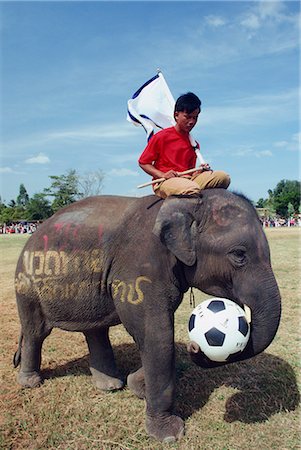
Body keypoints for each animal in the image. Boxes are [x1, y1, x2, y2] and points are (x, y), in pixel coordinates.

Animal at [12, 190, 280, 442]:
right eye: (239, 254)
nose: (194, 347)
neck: (186, 201)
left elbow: (156, 336)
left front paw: (136, 386)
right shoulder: (139, 270)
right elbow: (156, 334)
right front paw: (168, 434)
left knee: (95, 330)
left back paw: (111, 385)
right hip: (26, 285)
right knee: (36, 331)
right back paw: (31, 382)